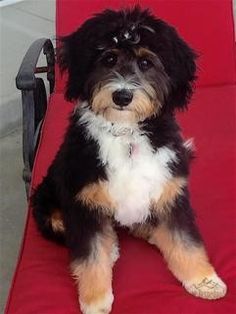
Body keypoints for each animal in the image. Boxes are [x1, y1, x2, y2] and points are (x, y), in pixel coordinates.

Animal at [31, 7, 227, 314]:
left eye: (146, 62)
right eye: (108, 58)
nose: (122, 95)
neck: (126, 132)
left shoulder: (170, 190)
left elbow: (185, 241)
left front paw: (203, 281)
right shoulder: (84, 201)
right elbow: (91, 254)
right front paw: (96, 300)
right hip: (47, 205)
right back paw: (112, 248)